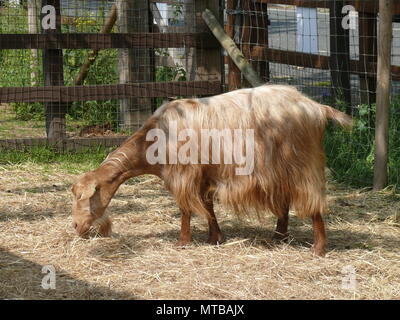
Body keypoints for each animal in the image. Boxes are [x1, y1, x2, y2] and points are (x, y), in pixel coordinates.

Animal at [70, 84, 352, 255]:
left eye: (87, 196)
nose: (76, 226)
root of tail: (315, 107)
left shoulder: (183, 175)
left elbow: (186, 209)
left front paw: (183, 242)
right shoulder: (203, 174)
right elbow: (207, 207)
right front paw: (215, 237)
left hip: (303, 165)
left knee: (313, 202)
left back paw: (318, 248)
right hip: (278, 170)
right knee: (283, 202)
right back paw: (278, 237)